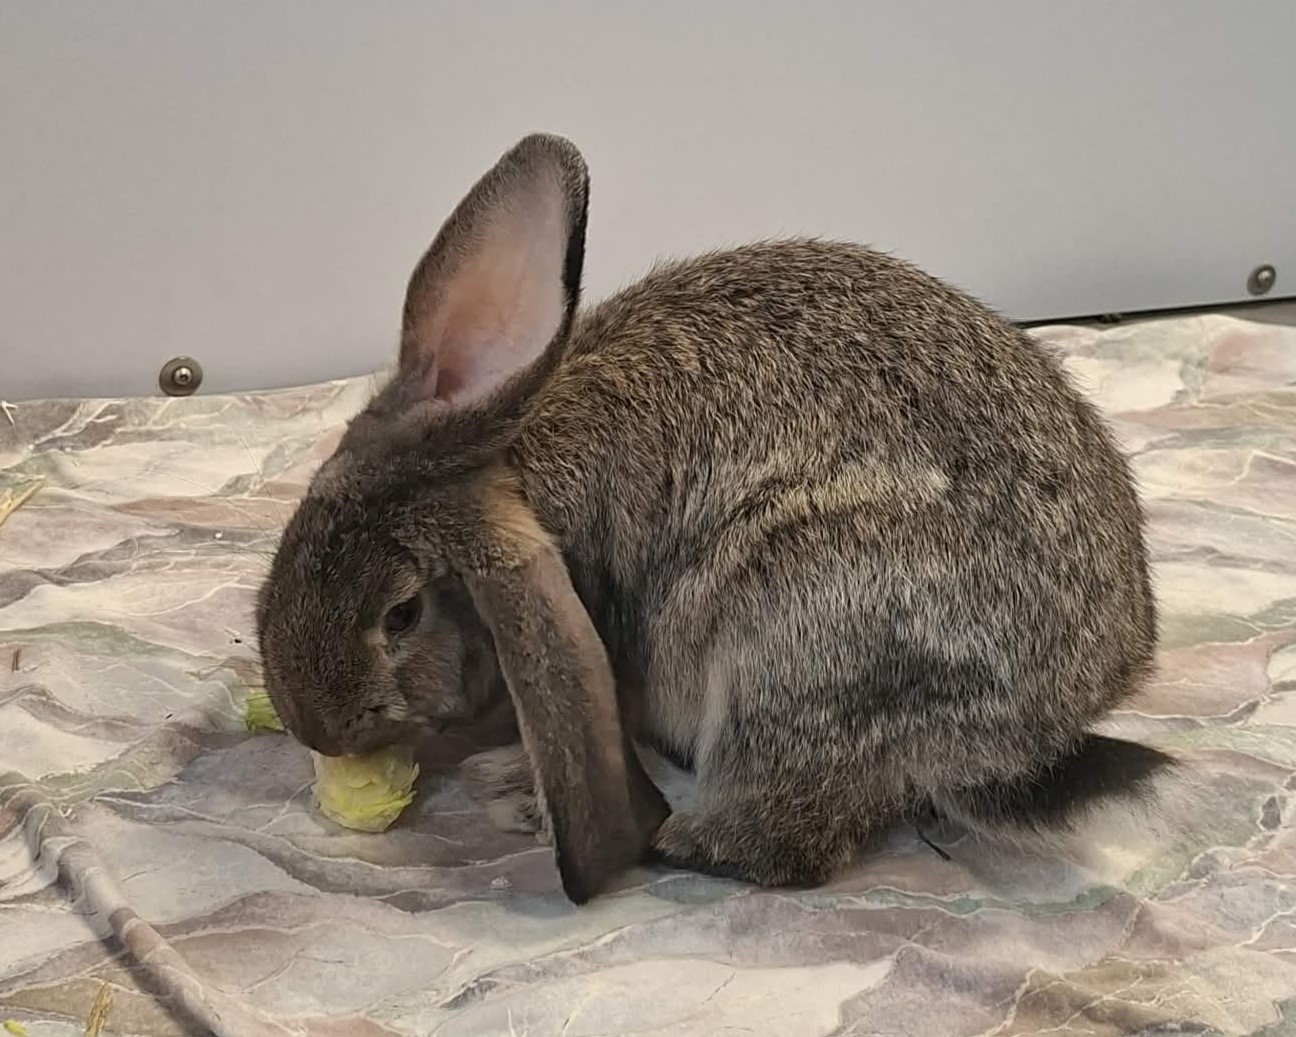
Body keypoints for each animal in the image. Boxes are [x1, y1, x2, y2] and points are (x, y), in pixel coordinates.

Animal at [256, 132, 1169, 904]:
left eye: (402, 612)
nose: (313, 725)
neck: (519, 465)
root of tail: (1044, 729)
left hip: (795, 631)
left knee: (777, 844)